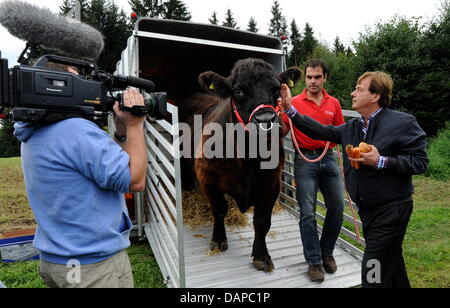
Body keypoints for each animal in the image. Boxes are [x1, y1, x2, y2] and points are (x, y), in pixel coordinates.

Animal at [178, 58, 300, 272]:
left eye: (277, 88)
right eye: (238, 91)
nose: (266, 120)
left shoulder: (271, 182)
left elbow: (262, 220)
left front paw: (261, 255)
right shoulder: (207, 176)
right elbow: (219, 208)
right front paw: (218, 239)